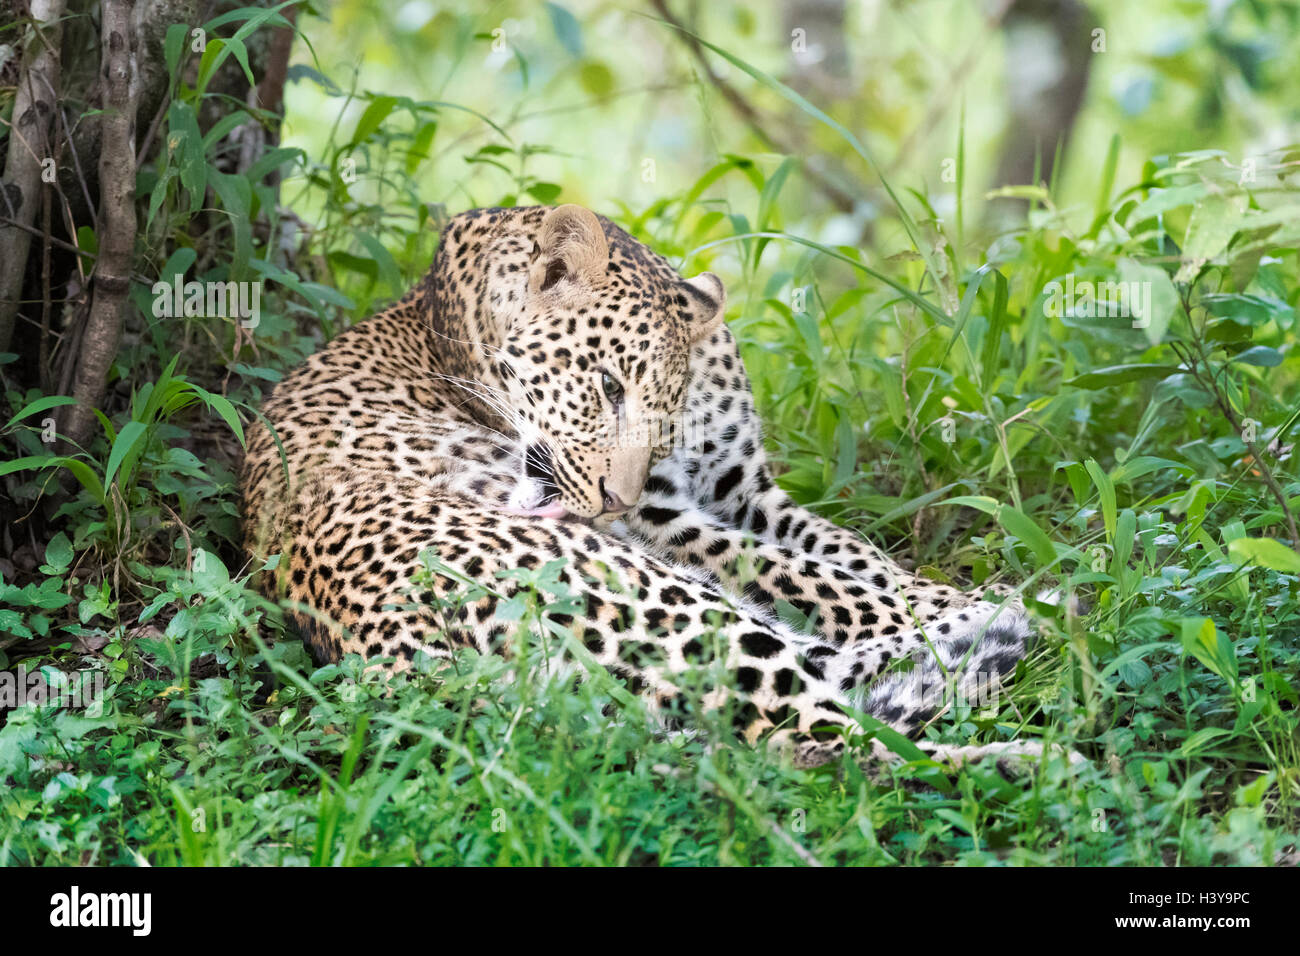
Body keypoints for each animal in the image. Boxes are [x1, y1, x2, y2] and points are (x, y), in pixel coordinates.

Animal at [241, 201, 1066, 770]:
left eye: (663, 412)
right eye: (607, 386)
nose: (617, 500)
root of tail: (396, 660)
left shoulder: (746, 489)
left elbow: (849, 555)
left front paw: (954, 594)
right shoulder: (668, 522)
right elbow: (814, 576)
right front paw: (954, 602)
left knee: (822, 676)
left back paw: (1004, 620)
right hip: (636, 589)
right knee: (812, 742)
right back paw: (1022, 751)